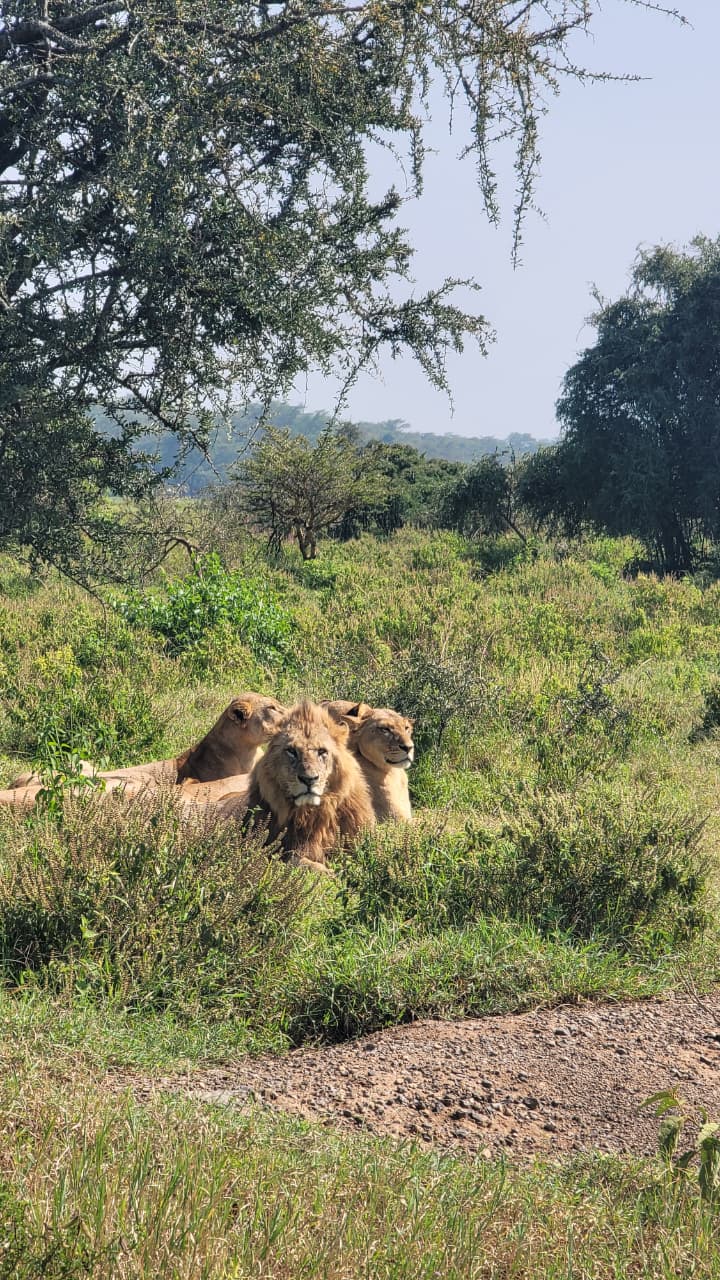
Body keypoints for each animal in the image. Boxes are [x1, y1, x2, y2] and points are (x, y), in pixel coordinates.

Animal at [242, 700, 375, 871]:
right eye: (291, 751)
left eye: (322, 751)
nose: (309, 779)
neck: (311, 813)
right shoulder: (278, 850)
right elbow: (302, 862)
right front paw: (329, 873)